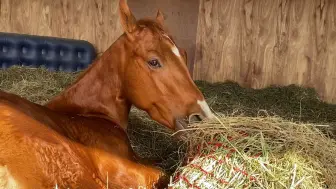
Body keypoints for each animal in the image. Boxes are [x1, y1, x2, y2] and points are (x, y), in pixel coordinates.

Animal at [0, 0, 214, 188]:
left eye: (184, 55)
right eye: (154, 61)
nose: (202, 117)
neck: (93, 114)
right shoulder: (133, 171)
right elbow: (163, 172)